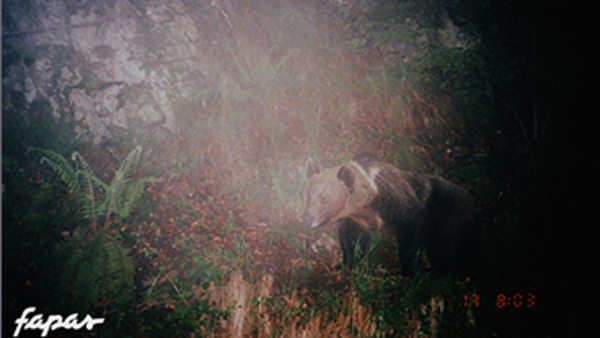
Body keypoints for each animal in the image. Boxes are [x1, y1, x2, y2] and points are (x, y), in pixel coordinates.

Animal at [304, 153, 478, 278]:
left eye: (325, 199)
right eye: (309, 195)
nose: (308, 218)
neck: (368, 202)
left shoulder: (397, 202)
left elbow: (410, 231)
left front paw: (408, 269)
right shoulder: (355, 218)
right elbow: (352, 240)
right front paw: (346, 264)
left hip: (449, 211)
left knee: (445, 243)